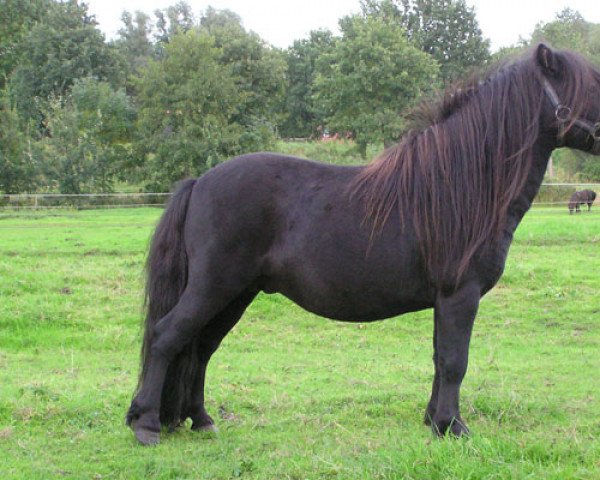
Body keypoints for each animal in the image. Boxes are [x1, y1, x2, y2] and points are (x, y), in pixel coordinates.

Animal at [126, 46, 600, 446]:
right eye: (594, 84)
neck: (459, 185)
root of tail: (199, 182)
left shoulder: (445, 302)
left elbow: (439, 358)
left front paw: (433, 421)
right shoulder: (459, 296)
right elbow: (454, 361)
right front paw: (453, 427)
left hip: (235, 294)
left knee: (200, 348)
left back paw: (201, 420)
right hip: (215, 287)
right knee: (168, 336)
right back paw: (146, 423)